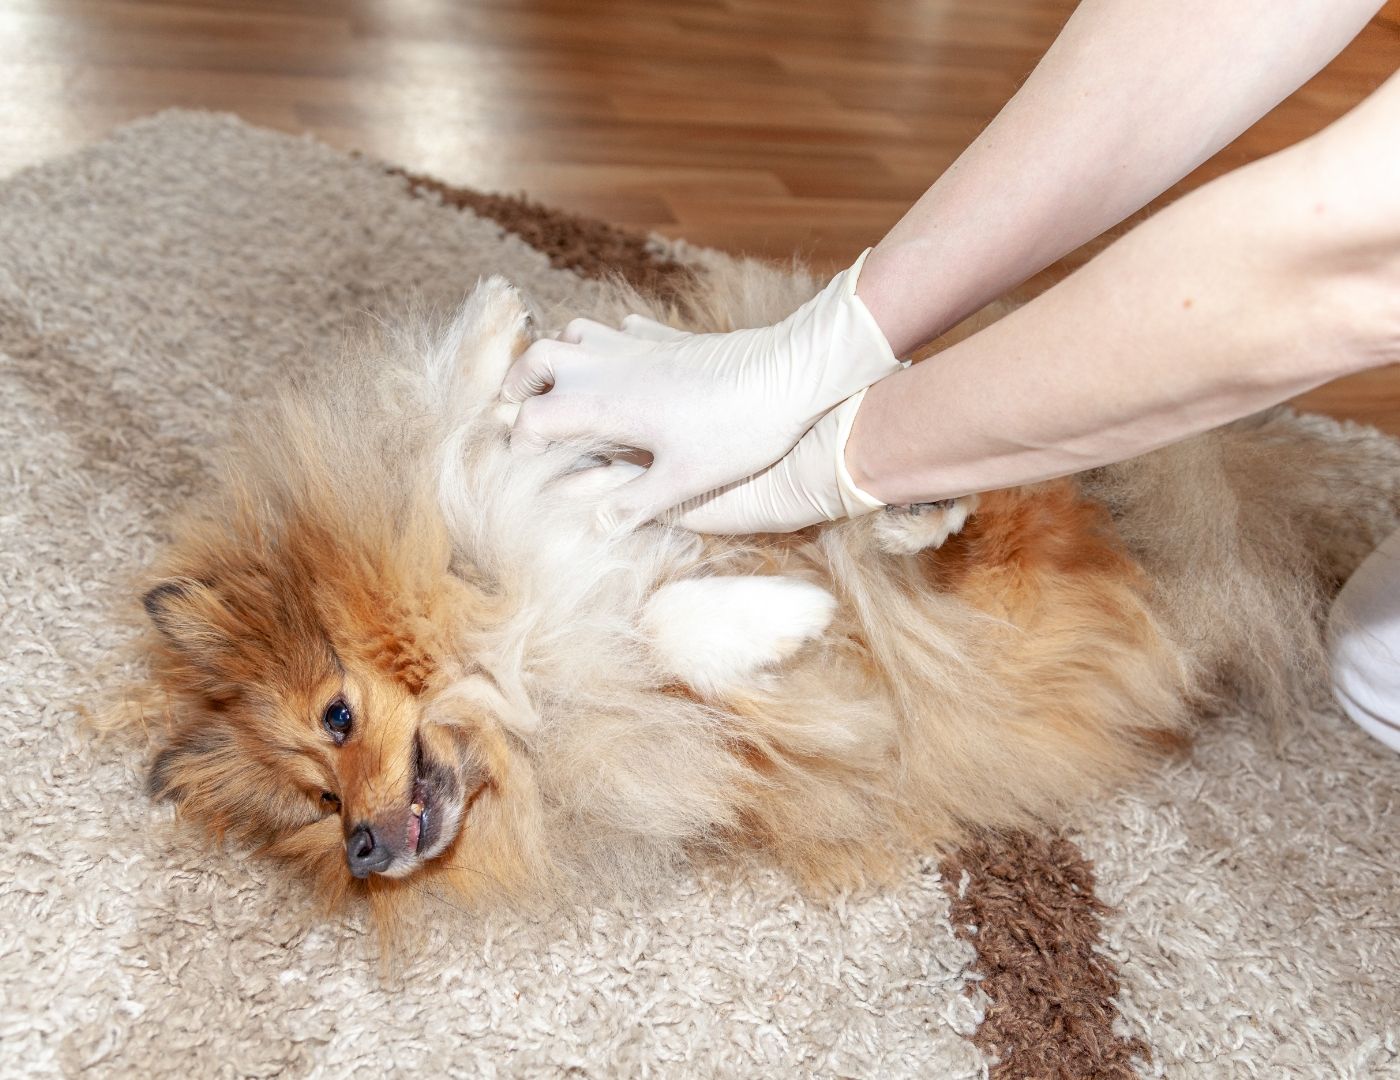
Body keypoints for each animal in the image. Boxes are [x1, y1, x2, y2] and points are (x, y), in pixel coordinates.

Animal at [131, 261, 1400, 935]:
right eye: (313, 800)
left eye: (337, 722)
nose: (359, 849)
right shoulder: (706, 730)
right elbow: (668, 633)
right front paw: (781, 616)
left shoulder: (536, 515)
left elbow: (477, 440)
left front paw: (493, 336)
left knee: (994, 501)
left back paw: (912, 499)